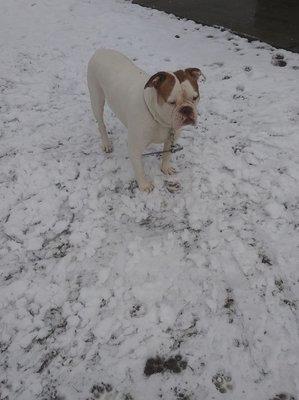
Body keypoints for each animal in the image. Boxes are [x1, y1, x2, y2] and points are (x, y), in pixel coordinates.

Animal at [87, 48, 204, 192]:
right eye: (171, 102)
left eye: (195, 97)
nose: (187, 109)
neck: (158, 119)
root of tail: (101, 50)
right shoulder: (135, 147)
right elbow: (139, 169)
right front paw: (144, 185)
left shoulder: (172, 136)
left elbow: (167, 154)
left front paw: (165, 168)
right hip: (96, 98)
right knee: (101, 123)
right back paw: (106, 144)